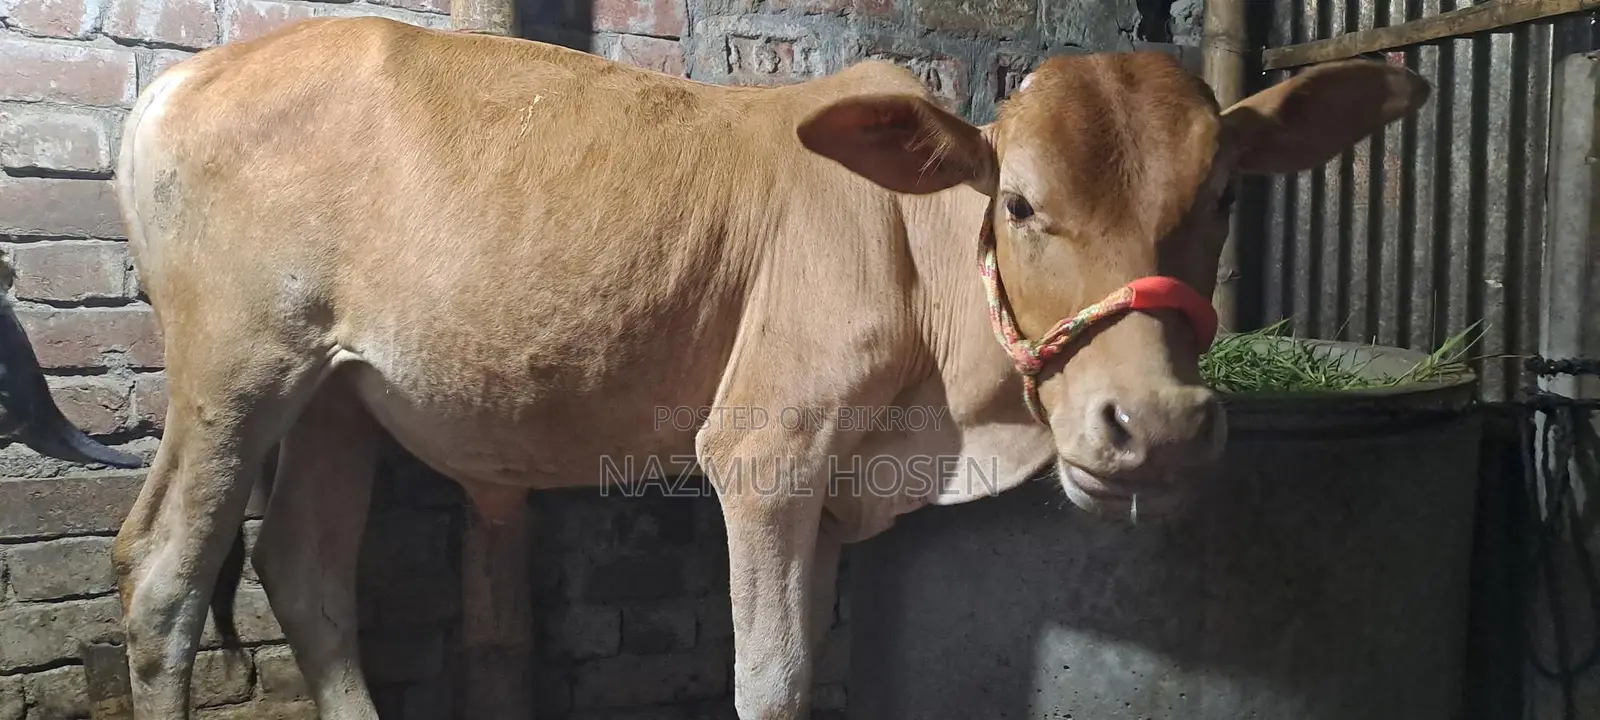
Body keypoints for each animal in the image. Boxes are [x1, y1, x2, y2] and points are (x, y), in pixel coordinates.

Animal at [109, 15, 1431, 720]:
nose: (1151, 426)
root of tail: (181, 77)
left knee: (306, 572)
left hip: (339, 392)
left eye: (1223, 197)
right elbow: (776, 682)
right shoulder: (762, 455)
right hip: (236, 371)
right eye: (1016, 202)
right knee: (161, 578)